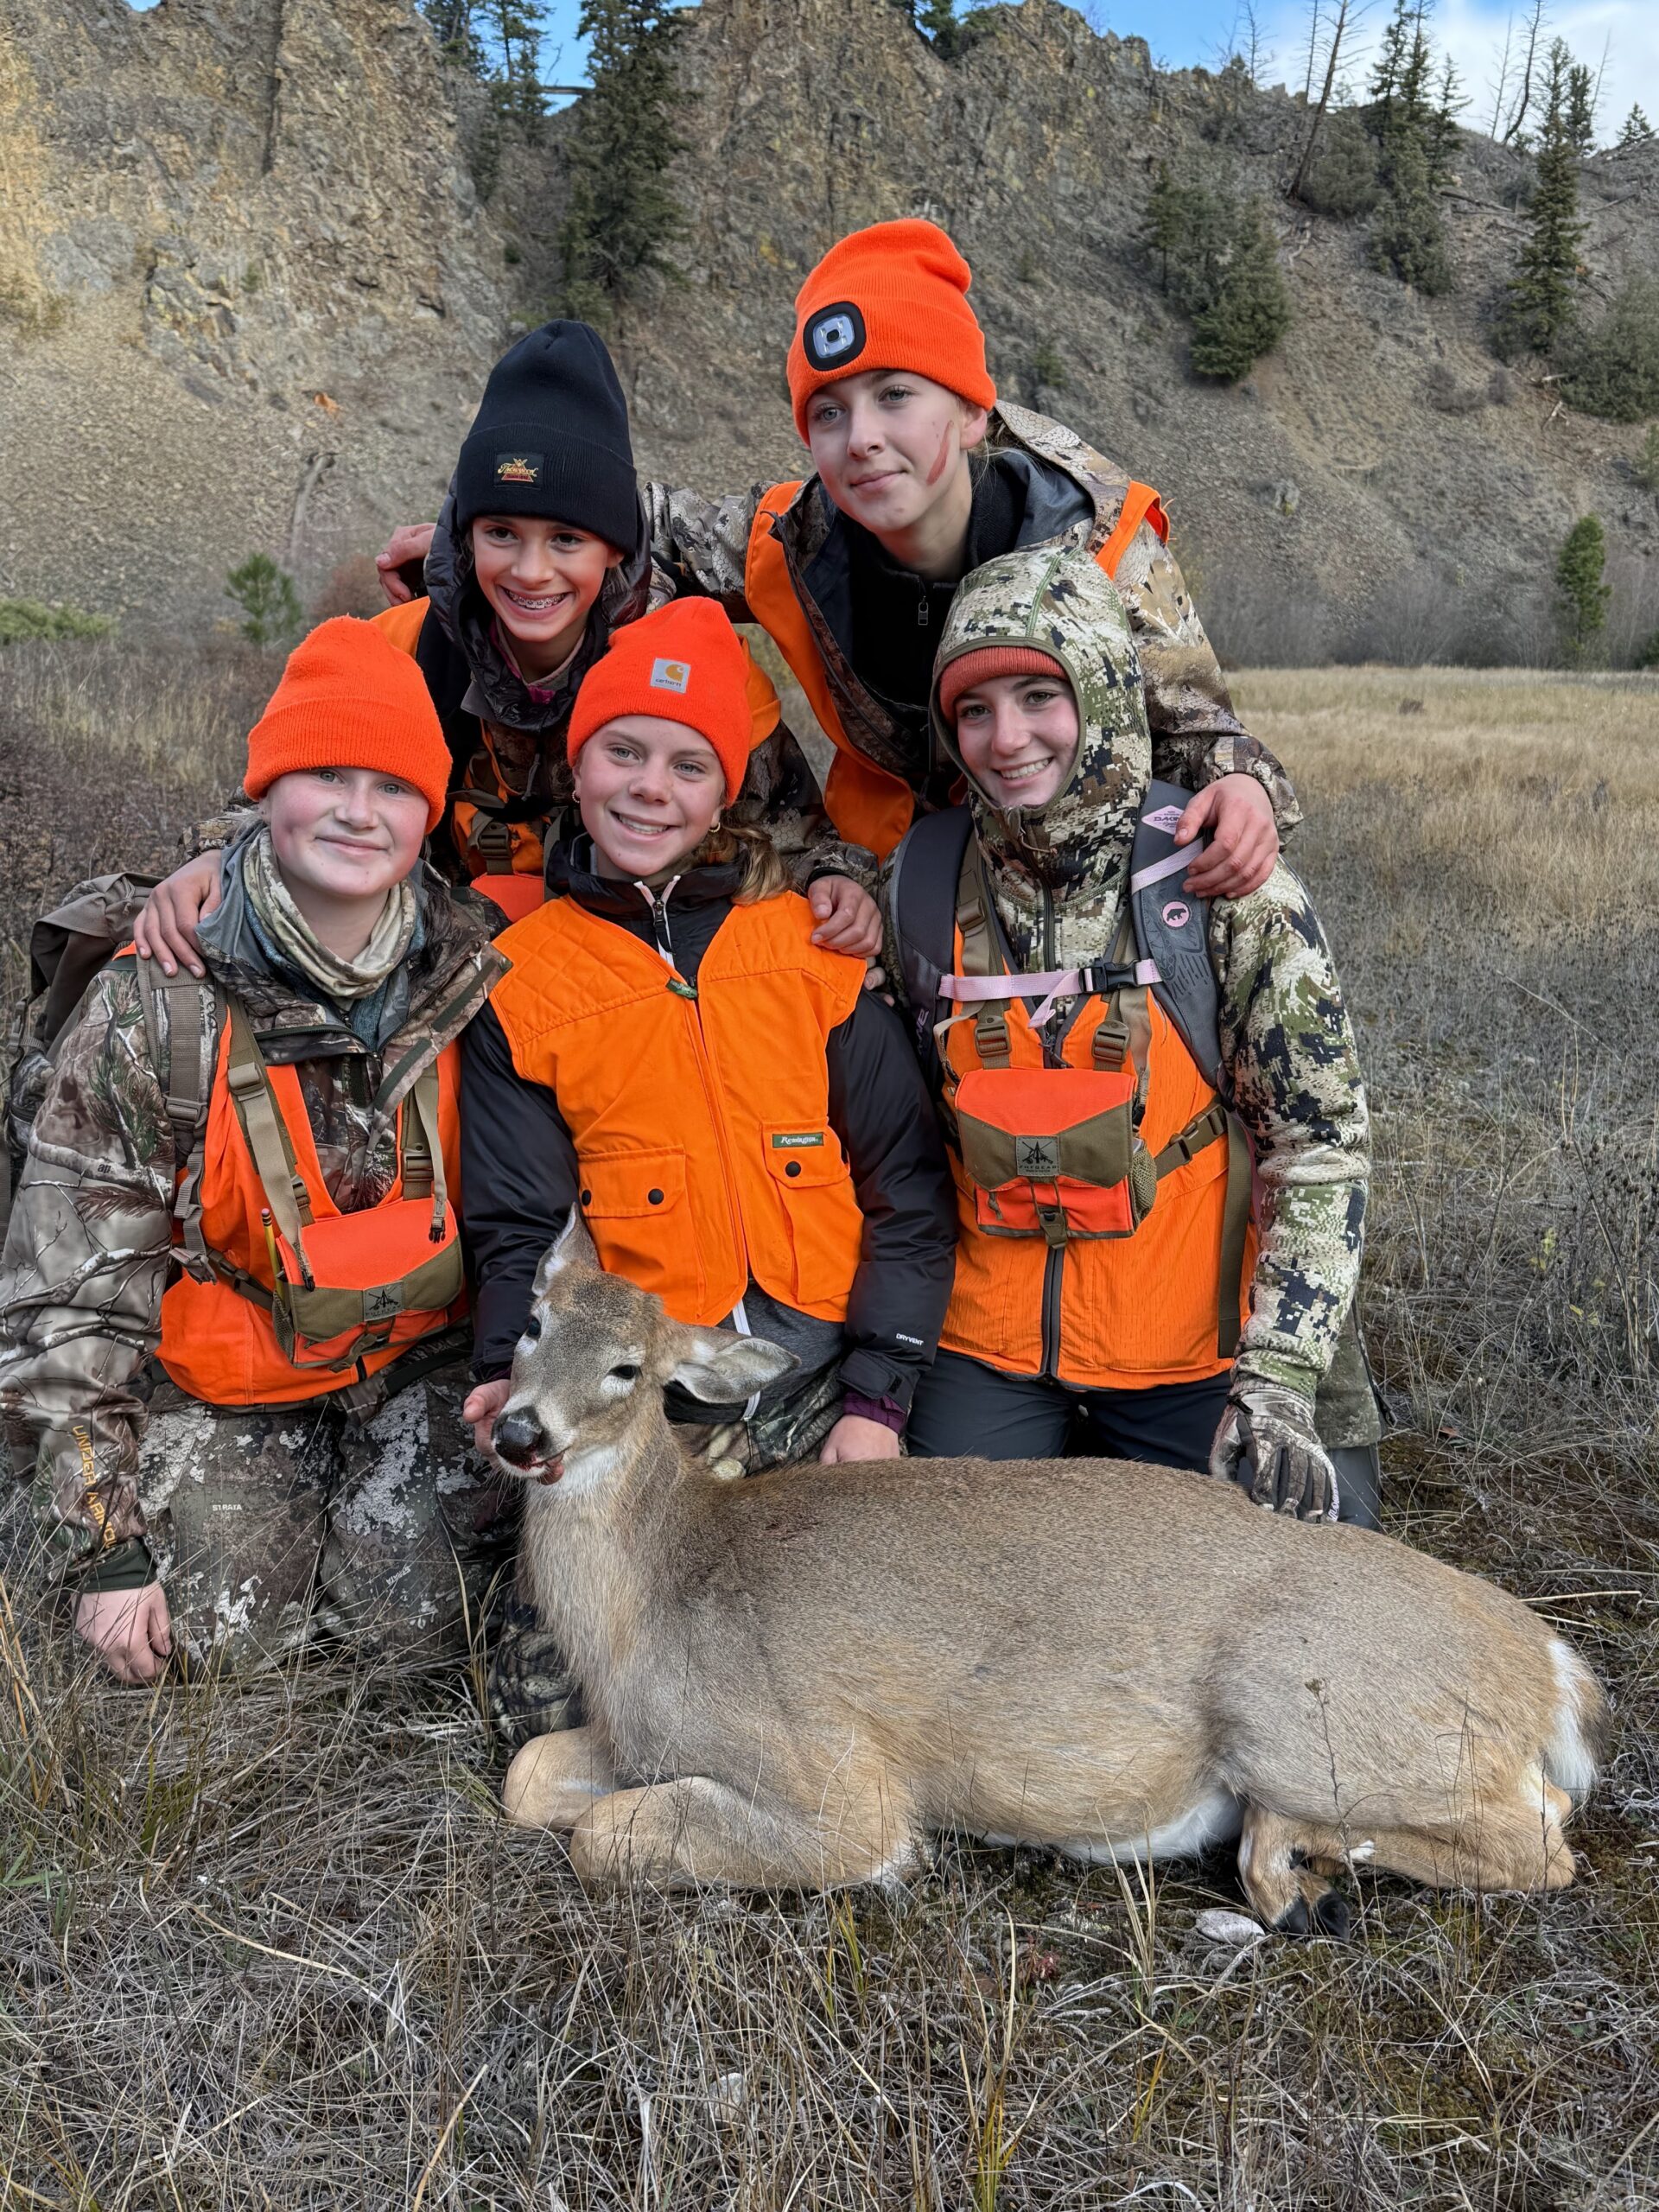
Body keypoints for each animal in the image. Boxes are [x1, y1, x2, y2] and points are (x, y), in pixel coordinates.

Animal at [489, 1215, 1605, 1933]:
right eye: (533, 1324)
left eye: (630, 1367)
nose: (517, 1431)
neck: (656, 1598)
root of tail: (1552, 1665)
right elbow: (528, 1775)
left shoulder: (837, 1782)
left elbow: (605, 1837)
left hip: (1304, 1713)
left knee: (1545, 1840)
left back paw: (1297, 1869)